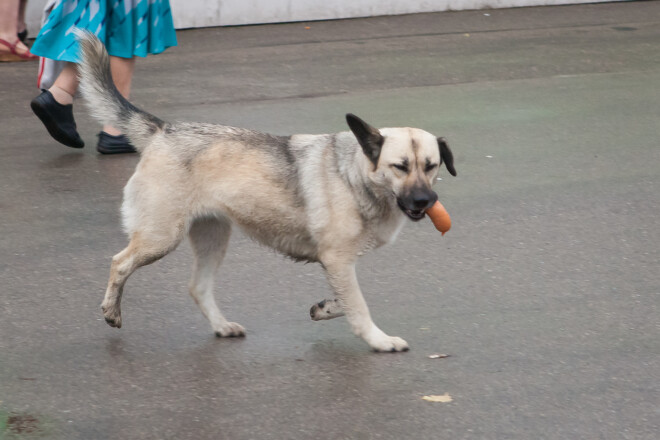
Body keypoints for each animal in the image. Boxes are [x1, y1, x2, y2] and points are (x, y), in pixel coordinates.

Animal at [76, 31, 454, 352]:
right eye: (400, 166)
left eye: (431, 166)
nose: (425, 201)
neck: (354, 173)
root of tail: (162, 130)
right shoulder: (338, 259)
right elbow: (359, 307)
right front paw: (379, 340)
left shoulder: (338, 263)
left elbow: (347, 300)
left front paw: (326, 307)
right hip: (161, 238)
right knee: (120, 263)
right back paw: (111, 310)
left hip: (213, 239)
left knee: (198, 288)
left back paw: (221, 326)